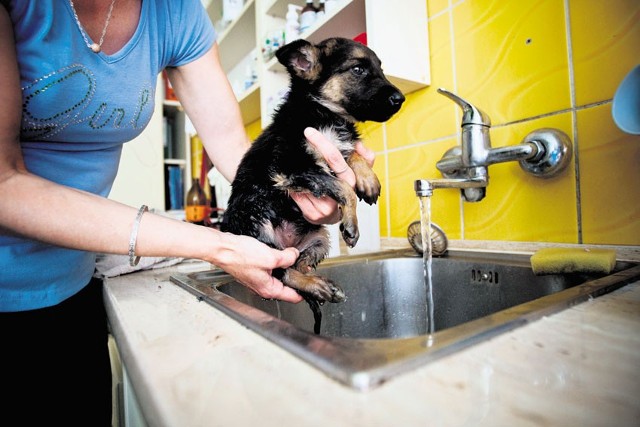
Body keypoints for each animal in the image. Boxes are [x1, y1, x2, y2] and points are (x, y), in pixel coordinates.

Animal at [220, 37, 404, 308]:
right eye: (358, 69)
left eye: (380, 68)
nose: (400, 98)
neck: (326, 115)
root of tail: (287, 245)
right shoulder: (290, 168)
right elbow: (343, 187)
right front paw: (351, 224)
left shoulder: (334, 150)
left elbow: (353, 153)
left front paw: (368, 180)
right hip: (259, 228)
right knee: (281, 271)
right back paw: (317, 285)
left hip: (318, 238)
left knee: (297, 264)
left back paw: (316, 284)